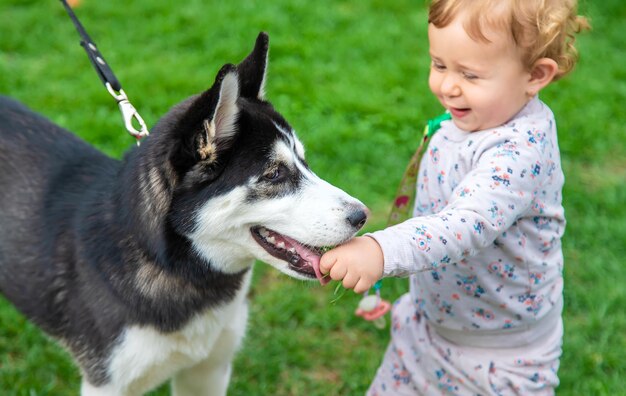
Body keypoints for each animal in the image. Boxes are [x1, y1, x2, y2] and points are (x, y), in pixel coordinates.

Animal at [0, 32, 366, 394]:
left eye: (305, 162)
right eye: (275, 173)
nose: (362, 216)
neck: (177, 266)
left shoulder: (209, 371)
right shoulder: (106, 383)